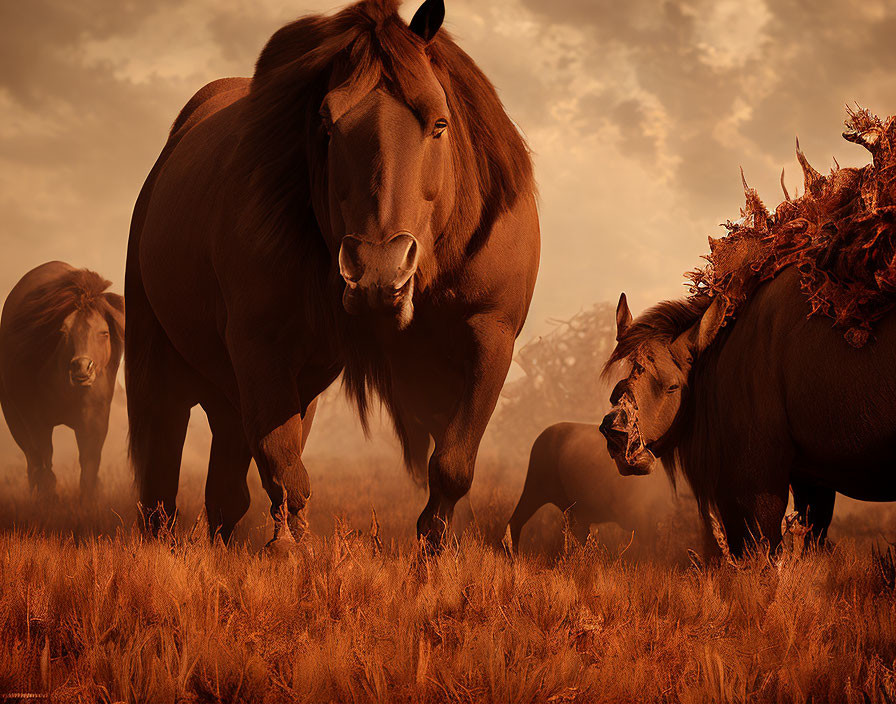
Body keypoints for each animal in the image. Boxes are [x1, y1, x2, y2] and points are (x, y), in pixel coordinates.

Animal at [0, 262, 126, 498]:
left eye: (104, 332)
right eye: (64, 331)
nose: (82, 367)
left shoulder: (94, 420)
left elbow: (89, 465)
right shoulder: (34, 420)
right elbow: (44, 461)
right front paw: (49, 497)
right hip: (14, 419)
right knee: (33, 460)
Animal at [126, 0, 540, 544]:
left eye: (440, 122)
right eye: (325, 123)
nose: (378, 273)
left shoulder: (489, 337)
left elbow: (453, 465)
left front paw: (436, 551)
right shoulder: (260, 343)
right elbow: (283, 465)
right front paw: (289, 552)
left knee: (225, 486)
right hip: (166, 361)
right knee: (164, 465)